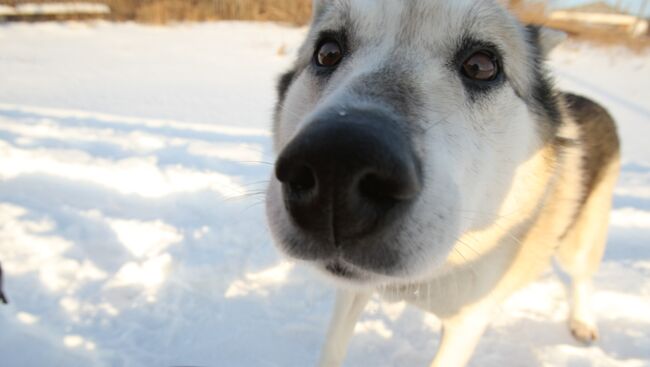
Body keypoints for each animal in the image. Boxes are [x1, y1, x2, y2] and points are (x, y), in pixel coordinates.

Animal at [266, 1, 620, 366]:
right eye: (328, 52)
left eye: (481, 66)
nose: (338, 164)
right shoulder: (352, 291)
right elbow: (333, 346)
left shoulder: (466, 324)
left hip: (578, 245)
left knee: (582, 278)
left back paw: (582, 321)